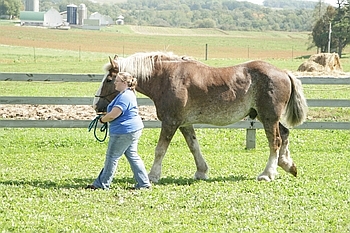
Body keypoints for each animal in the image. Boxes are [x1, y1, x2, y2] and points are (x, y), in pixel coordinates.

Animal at [92, 52, 306, 183]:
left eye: (109, 80)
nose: (96, 105)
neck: (168, 78)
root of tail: (284, 72)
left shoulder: (170, 122)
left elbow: (160, 150)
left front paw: (153, 175)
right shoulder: (184, 123)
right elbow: (194, 147)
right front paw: (201, 171)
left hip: (268, 118)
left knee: (275, 141)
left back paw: (268, 173)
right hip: (267, 118)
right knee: (285, 135)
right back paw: (288, 165)